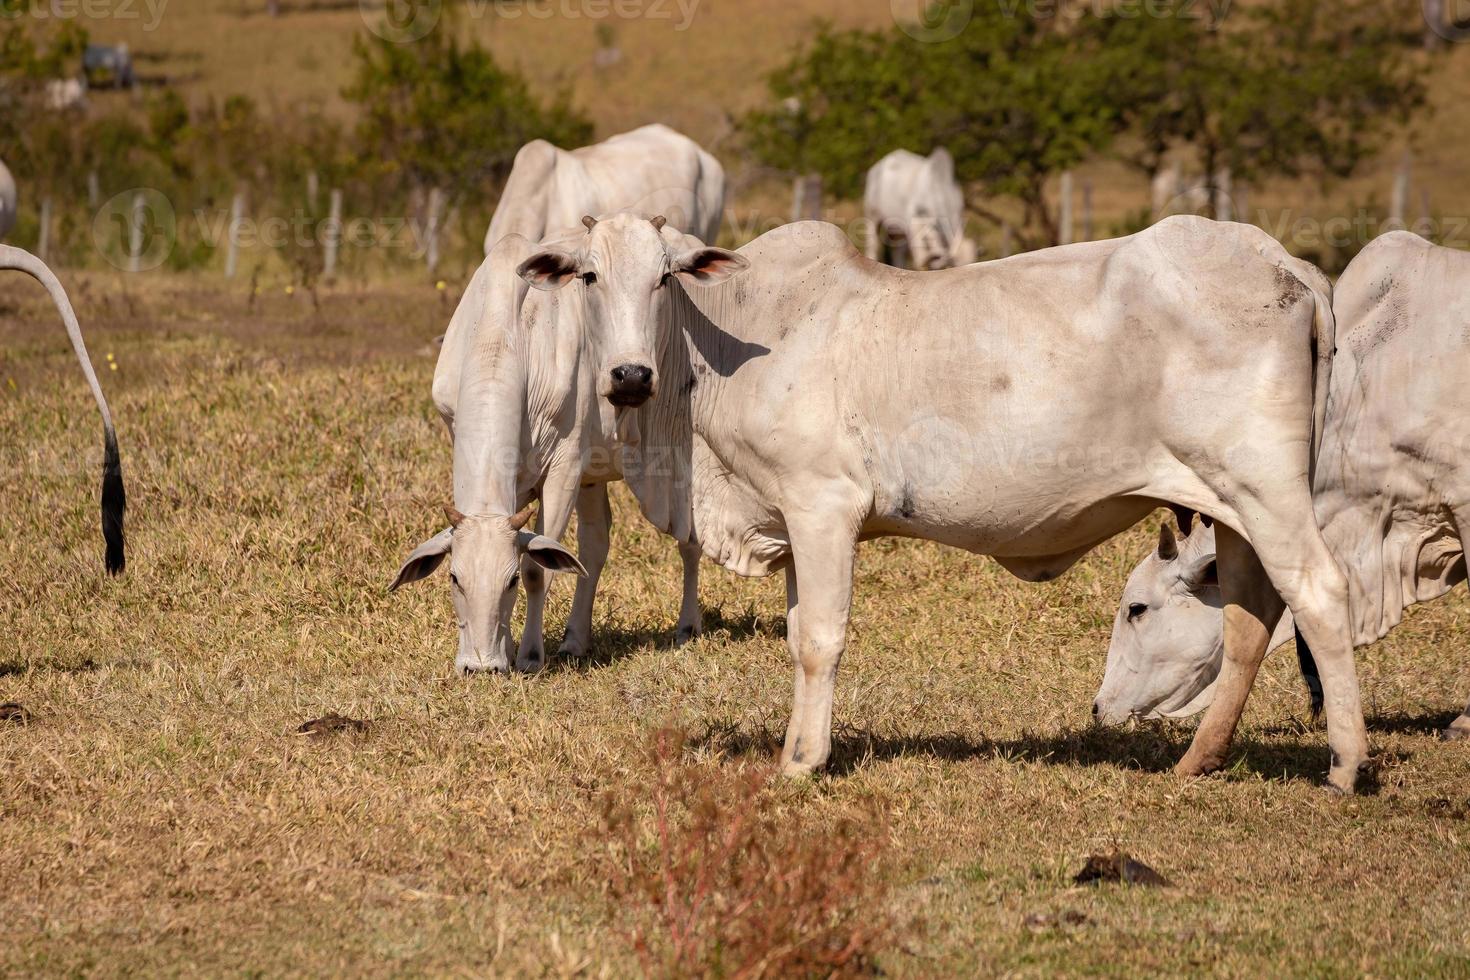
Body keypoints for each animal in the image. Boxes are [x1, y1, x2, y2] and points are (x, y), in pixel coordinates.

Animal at [393, 221, 708, 675]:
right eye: (454, 578)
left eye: (508, 581)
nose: (480, 666)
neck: (505, 337)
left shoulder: (564, 469)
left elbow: (537, 568)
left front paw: (527, 654)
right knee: (595, 544)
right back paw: (576, 639)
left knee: (689, 540)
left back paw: (688, 626)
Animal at [514, 213, 1364, 787]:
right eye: (589, 276)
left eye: (665, 277)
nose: (629, 375)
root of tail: (1282, 260)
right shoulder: (792, 518)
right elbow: (797, 635)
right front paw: (795, 746)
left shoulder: (824, 507)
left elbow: (819, 638)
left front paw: (804, 762)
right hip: (1231, 506)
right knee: (1252, 618)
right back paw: (1200, 758)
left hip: (1264, 487)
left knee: (1321, 593)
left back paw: (1347, 764)